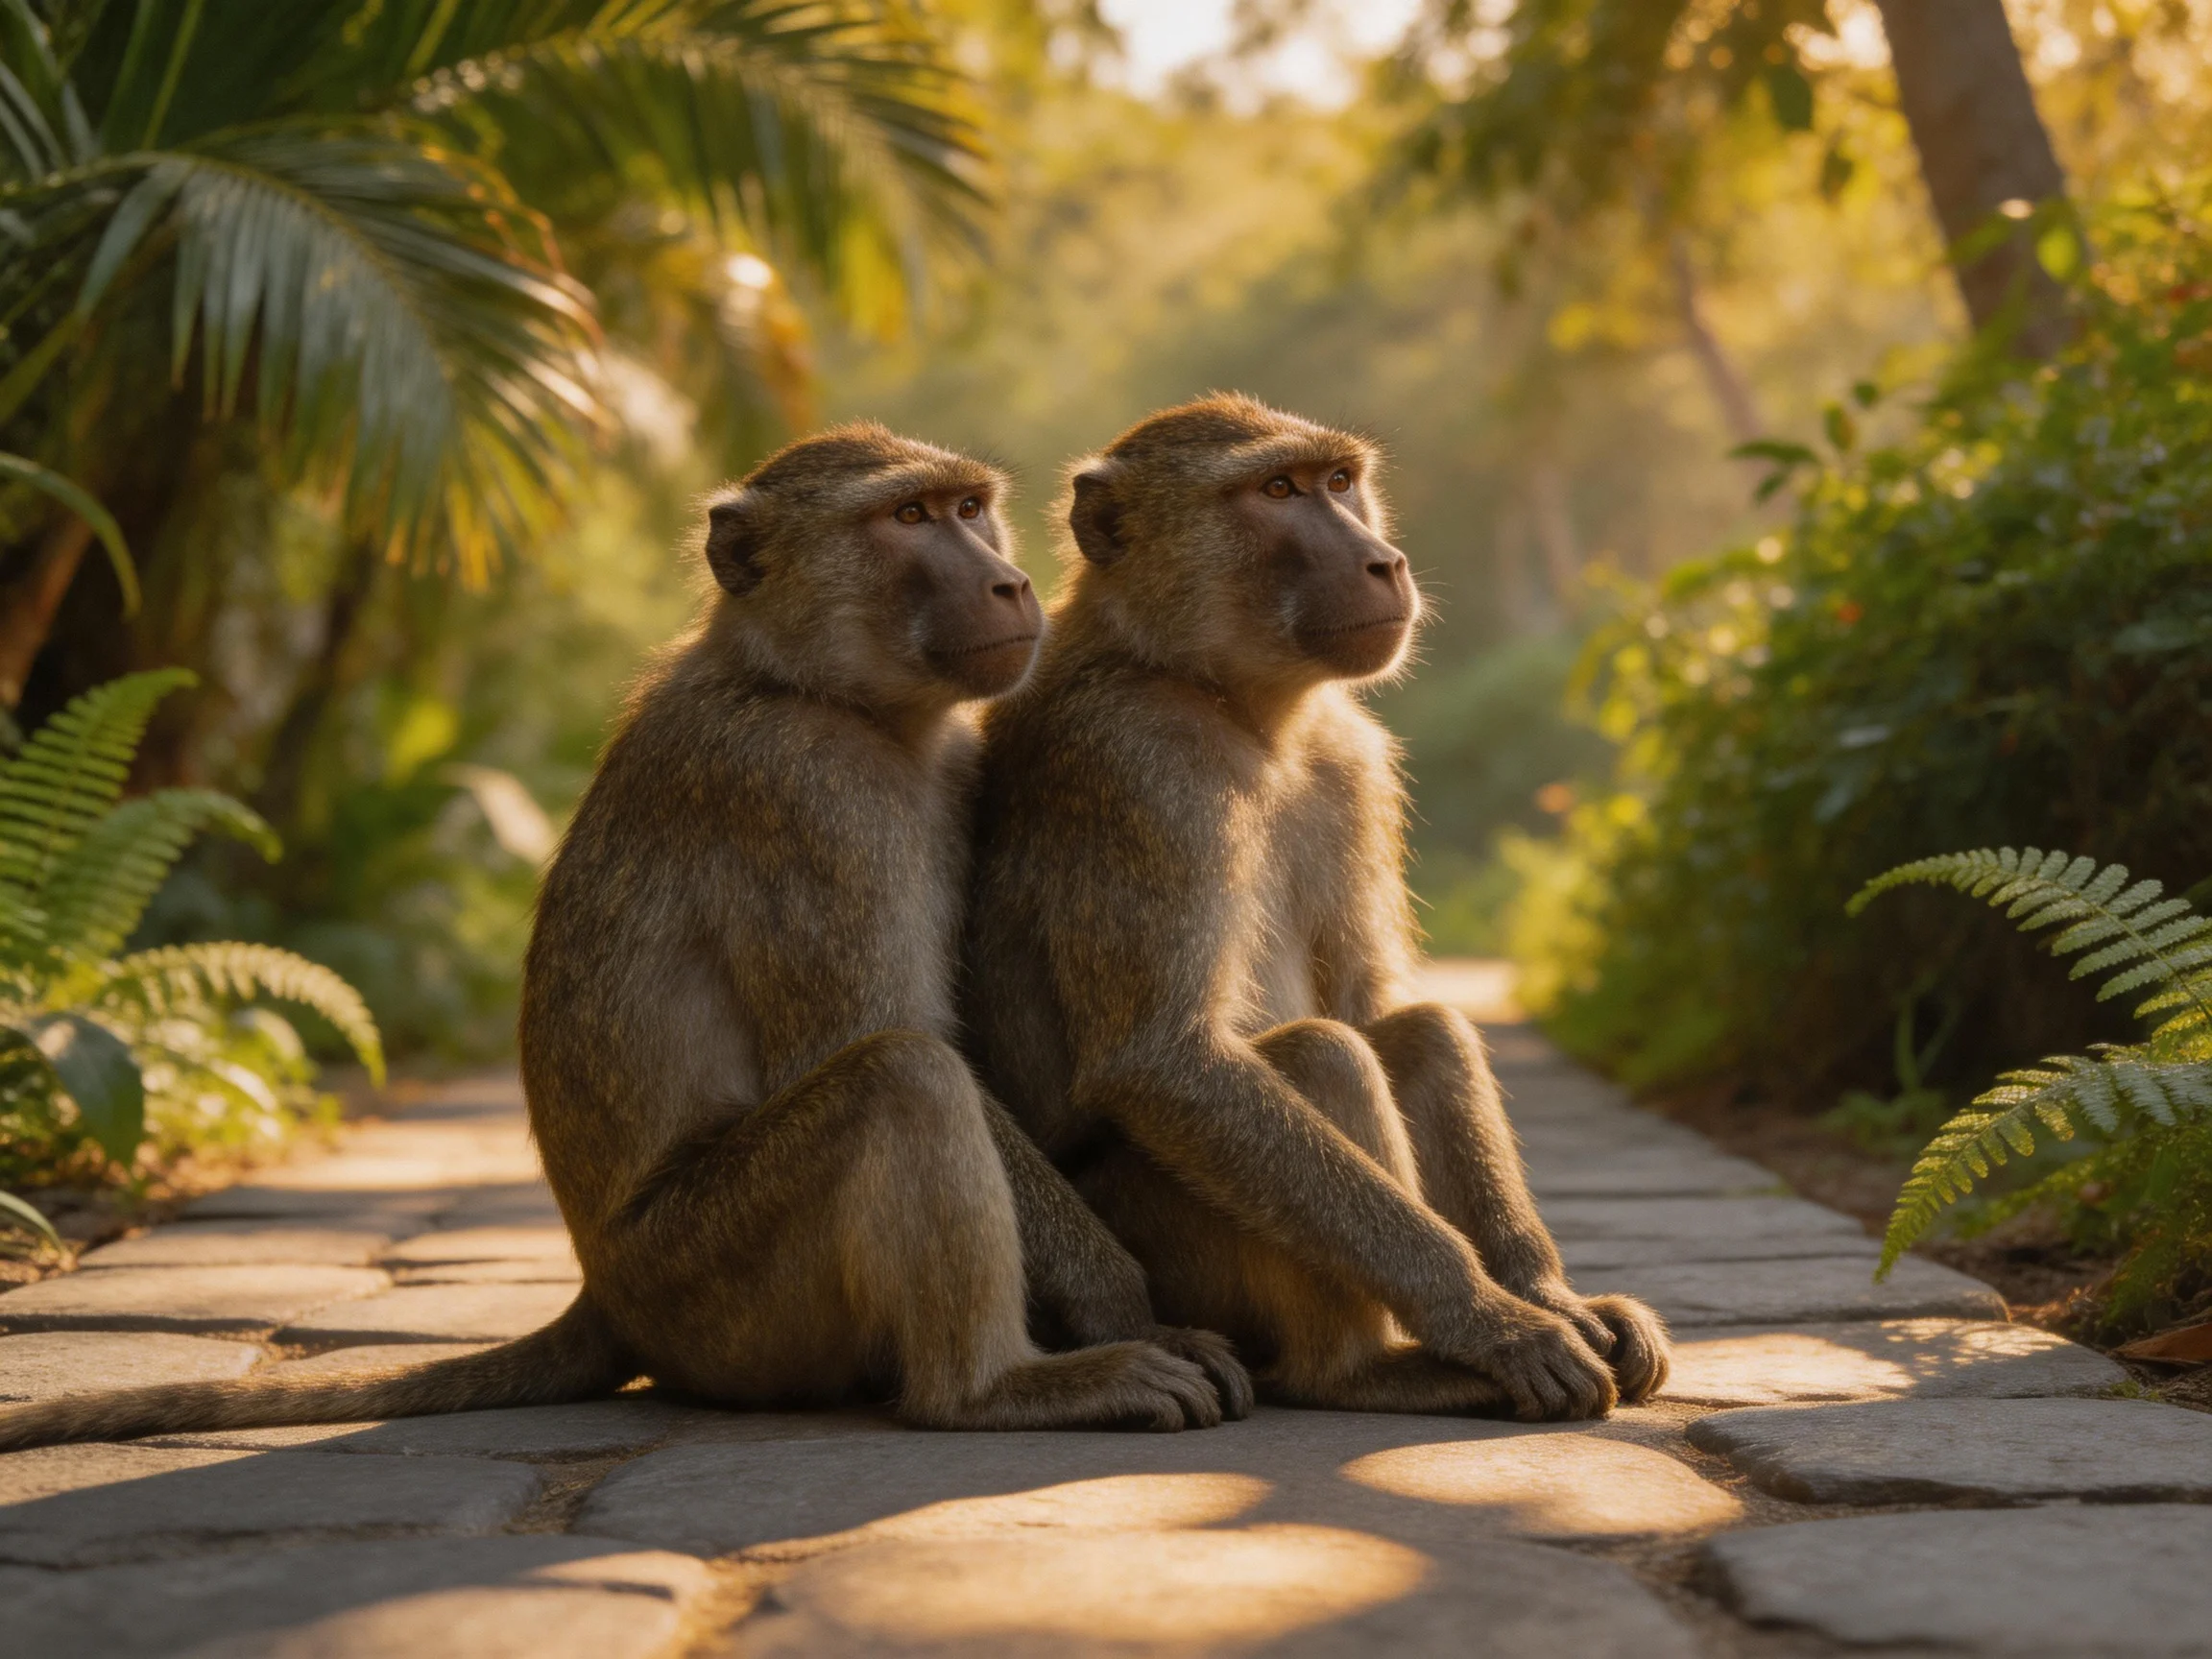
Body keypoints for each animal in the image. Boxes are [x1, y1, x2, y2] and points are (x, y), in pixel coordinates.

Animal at [0, 424, 1250, 1455]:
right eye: (906, 518)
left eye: (968, 508)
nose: (1009, 580)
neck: (801, 685)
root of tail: (605, 1288)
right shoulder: (806, 795)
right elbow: (883, 1037)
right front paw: (1125, 1306)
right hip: (714, 1293)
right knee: (900, 1081)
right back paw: (989, 1392)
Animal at [962, 394, 1670, 1423]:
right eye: (1277, 491)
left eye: (1339, 482)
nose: (1383, 562)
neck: (1234, 703)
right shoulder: (1138, 764)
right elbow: (1165, 1062)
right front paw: (1493, 1322)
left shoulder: (1352, 762)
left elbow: (1377, 1007)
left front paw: (1549, 1300)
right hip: (1169, 1250)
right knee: (1319, 1055)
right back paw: (1366, 1370)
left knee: (1414, 1030)